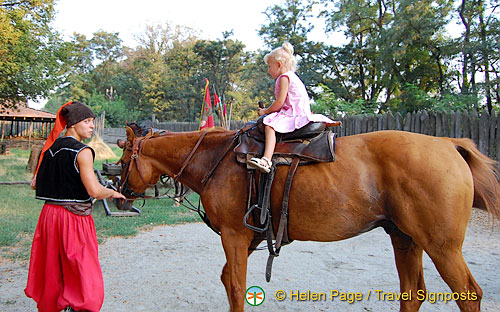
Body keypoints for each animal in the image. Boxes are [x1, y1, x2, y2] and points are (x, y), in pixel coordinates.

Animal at [118, 127, 500, 312]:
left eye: (123, 159)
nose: (120, 192)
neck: (217, 159)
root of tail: (447, 144)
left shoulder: (234, 236)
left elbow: (237, 288)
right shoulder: (249, 238)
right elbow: (229, 280)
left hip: (442, 247)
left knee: (469, 294)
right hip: (406, 240)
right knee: (412, 295)